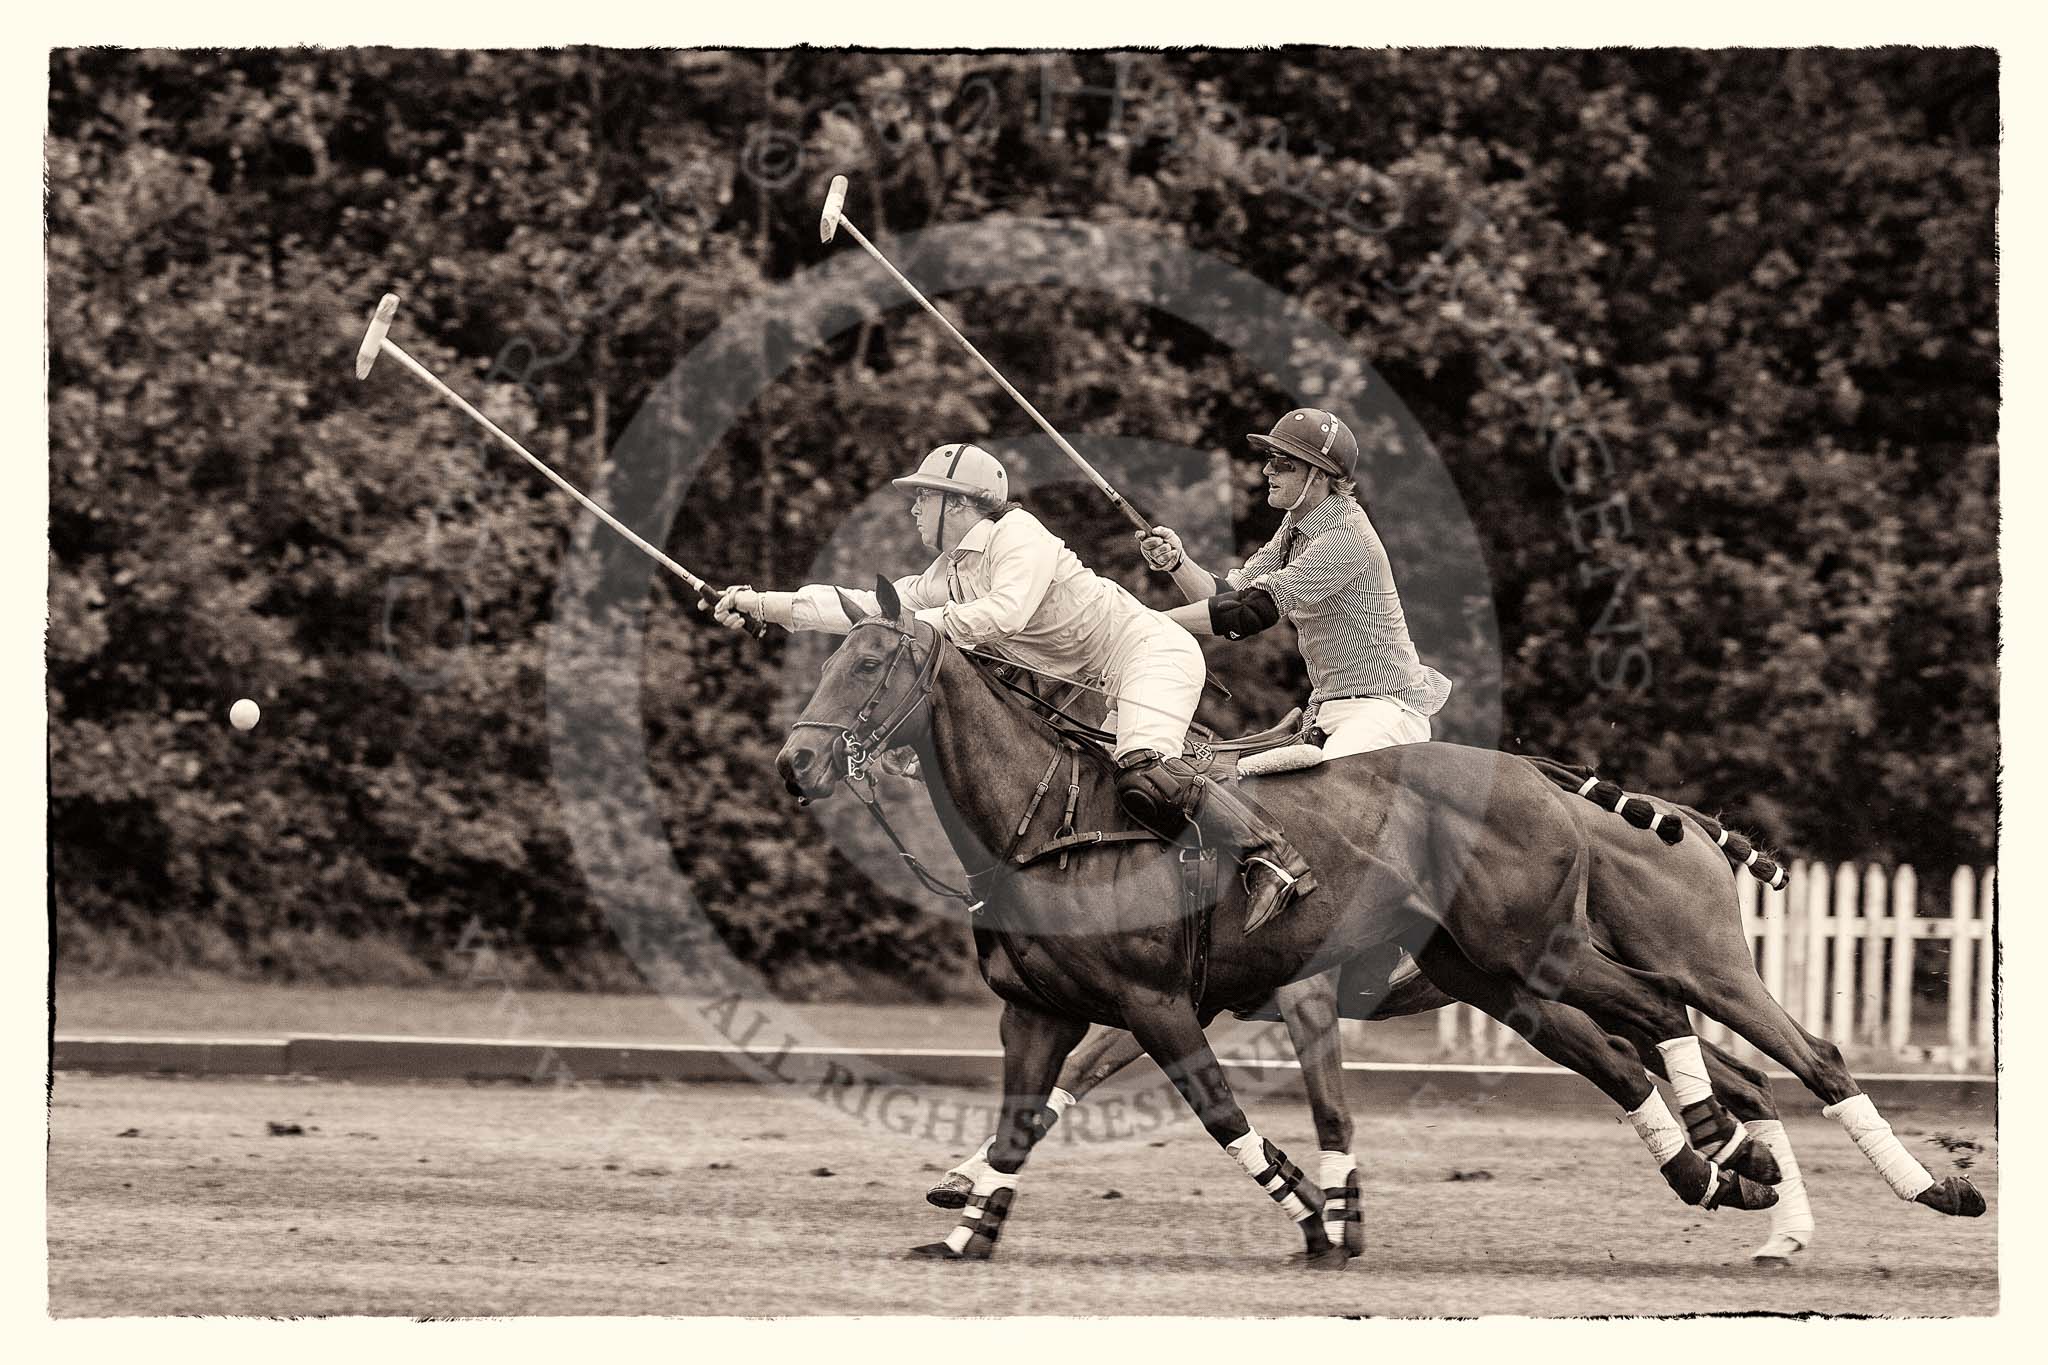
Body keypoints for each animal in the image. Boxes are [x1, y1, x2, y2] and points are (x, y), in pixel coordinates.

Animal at [774, 581, 1974, 1268]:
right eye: (828, 655)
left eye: (871, 662)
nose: (794, 762)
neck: (1050, 821)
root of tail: (1562, 786)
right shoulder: (1041, 1009)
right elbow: (1029, 1116)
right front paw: (964, 1222)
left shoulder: (1165, 1001)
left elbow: (1230, 1115)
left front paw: (1322, 1216)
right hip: (1511, 977)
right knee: (1671, 1058)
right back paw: (1739, 1181)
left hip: (1599, 958)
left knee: (1775, 1049)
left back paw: (1909, 1186)